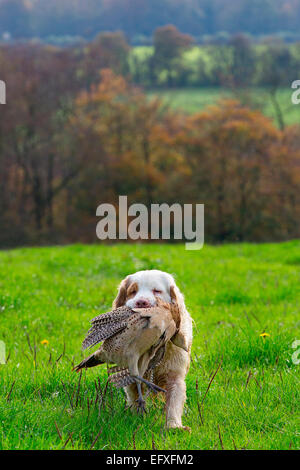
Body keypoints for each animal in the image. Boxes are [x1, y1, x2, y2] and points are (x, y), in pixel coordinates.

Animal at [112, 268, 192, 430]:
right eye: (133, 291)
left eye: (157, 291)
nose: (141, 302)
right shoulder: (131, 376)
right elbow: (134, 396)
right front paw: (135, 418)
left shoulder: (175, 377)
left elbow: (173, 403)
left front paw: (173, 426)